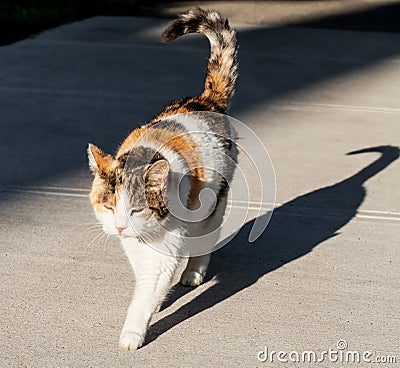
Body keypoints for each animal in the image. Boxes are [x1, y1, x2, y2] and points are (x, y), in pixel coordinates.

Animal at [87, 7, 238, 350]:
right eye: (109, 207)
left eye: (137, 209)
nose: (119, 227)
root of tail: (206, 100)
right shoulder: (135, 247)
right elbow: (145, 282)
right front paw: (152, 307)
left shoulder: (165, 251)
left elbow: (150, 288)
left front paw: (133, 333)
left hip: (214, 204)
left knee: (206, 237)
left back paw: (193, 272)